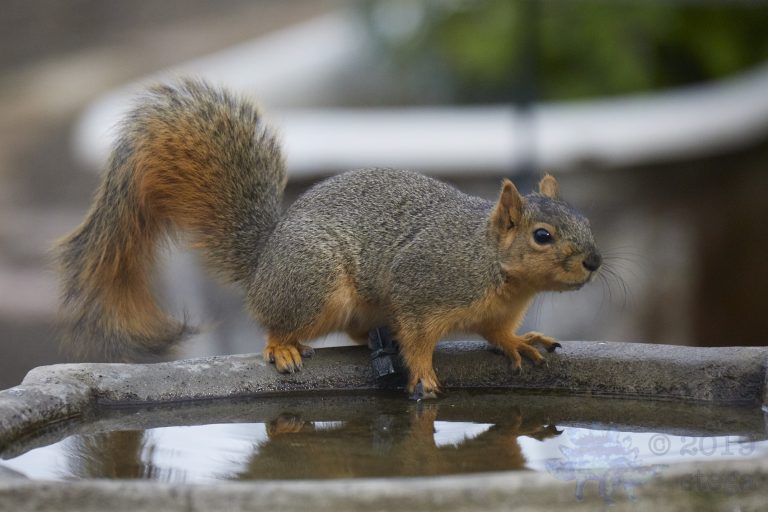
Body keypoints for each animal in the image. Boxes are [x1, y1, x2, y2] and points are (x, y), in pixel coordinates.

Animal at [55, 78, 601, 398]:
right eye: (542, 235)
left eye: (587, 221)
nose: (594, 262)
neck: (491, 263)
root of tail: (264, 262)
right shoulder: (423, 286)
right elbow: (418, 336)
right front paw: (423, 375)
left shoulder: (495, 311)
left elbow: (496, 333)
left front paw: (519, 343)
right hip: (313, 285)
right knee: (276, 322)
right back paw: (283, 349)